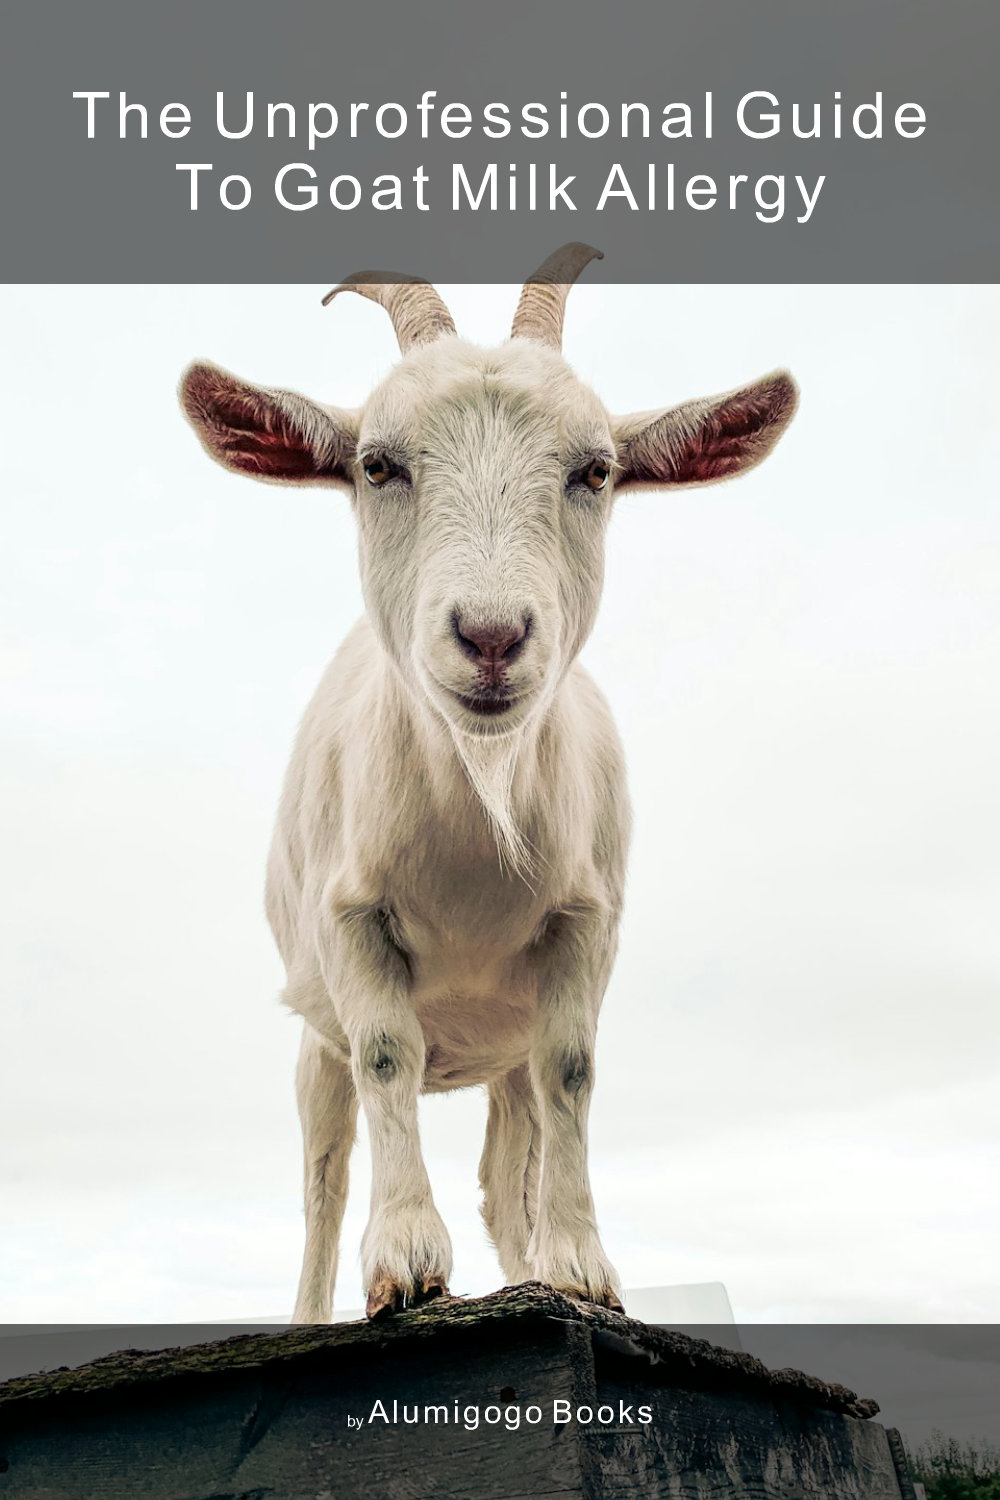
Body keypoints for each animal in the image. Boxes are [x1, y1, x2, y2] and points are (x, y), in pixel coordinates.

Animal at [180, 246, 797, 1322]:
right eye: (376, 464)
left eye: (596, 471)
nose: (493, 636)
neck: (479, 809)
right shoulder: (351, 920)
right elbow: (388, 1055)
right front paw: (404, 1263)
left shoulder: (585, 926)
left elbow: (573, 1074)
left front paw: (582, 1268)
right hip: (312, 1040)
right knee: (323, 1176)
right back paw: (310, 1307)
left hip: (500, 1056)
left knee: (510, 1171)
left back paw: (529, 1263)